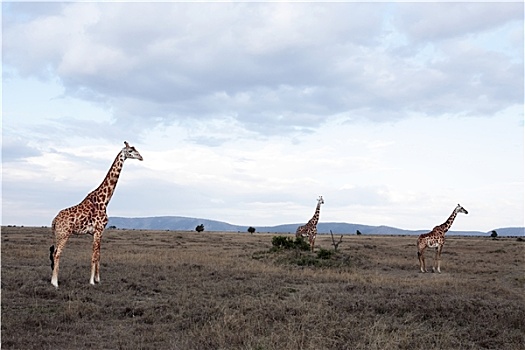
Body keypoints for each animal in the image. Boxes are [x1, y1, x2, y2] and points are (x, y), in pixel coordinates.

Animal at [49, 141, 142, 288]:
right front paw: (92, 281)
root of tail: (54, 220)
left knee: (54, 253)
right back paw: (55, 283)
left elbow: (99, 255)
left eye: (135, 149)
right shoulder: (98, 230)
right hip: (64, 234)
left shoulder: (99, 231)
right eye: (130, 151)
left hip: (57, 234)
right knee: (57, 254)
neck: (104, 200)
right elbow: (94, 256)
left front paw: (98, 279)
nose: (141, 157)